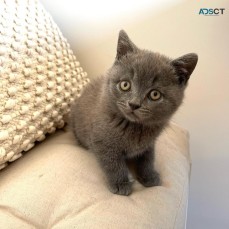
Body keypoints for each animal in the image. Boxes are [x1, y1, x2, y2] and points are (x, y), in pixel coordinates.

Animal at [70, 29, 198, 196]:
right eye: (125, 84)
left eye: (155, 94)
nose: (134, 104)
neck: (134, 126)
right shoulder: (101, 141)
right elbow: (112, 162)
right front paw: (121, 183)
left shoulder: (150, 143)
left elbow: (148, 158)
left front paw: (149, 175)